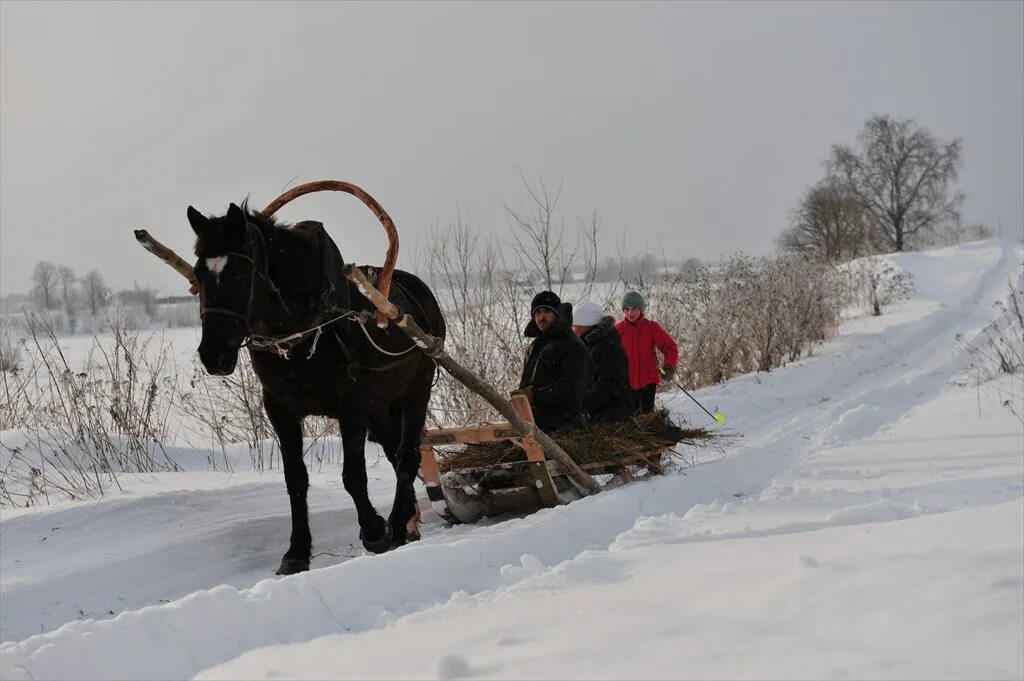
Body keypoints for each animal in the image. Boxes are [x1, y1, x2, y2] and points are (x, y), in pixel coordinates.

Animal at [188, 201, 444, 573]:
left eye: (238, 274)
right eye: (198, 275)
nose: (213, 354)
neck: (307, 326)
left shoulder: (352, 407)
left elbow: (353, 475)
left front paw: (374, 531)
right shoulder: (280, 409)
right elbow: (295, 480)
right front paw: (296, 552)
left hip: (416, 390)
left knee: (406, 455)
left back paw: (397, 523)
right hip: (382, 406)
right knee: (393, 450)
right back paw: (407, 521)